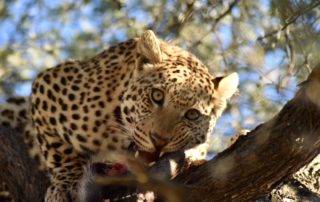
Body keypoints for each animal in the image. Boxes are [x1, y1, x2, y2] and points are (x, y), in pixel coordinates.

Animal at [0, 30, 238, 200]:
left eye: (192, 115)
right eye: (157, 95)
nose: (159, 141)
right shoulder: (48, 86)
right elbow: (60, 152)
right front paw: (65, 185)